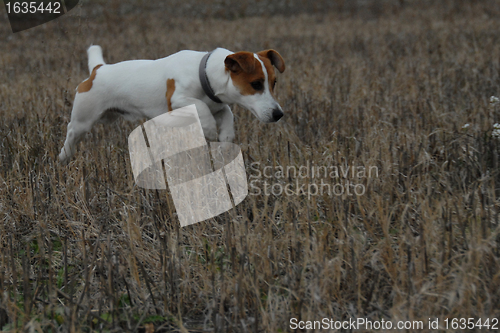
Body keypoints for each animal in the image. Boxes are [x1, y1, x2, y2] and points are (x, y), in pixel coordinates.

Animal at [58, 44, 286, 163]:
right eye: (256, 84)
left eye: (274, 83)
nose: (278, 114)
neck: (204, 73)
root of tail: (98, 69)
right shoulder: (176, 103)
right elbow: (202, 108)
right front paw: (209, 129)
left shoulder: (218, 106)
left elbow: (226, 114)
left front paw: (225, 138)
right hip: (84, 119)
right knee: (71, 132)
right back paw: (64, 156)